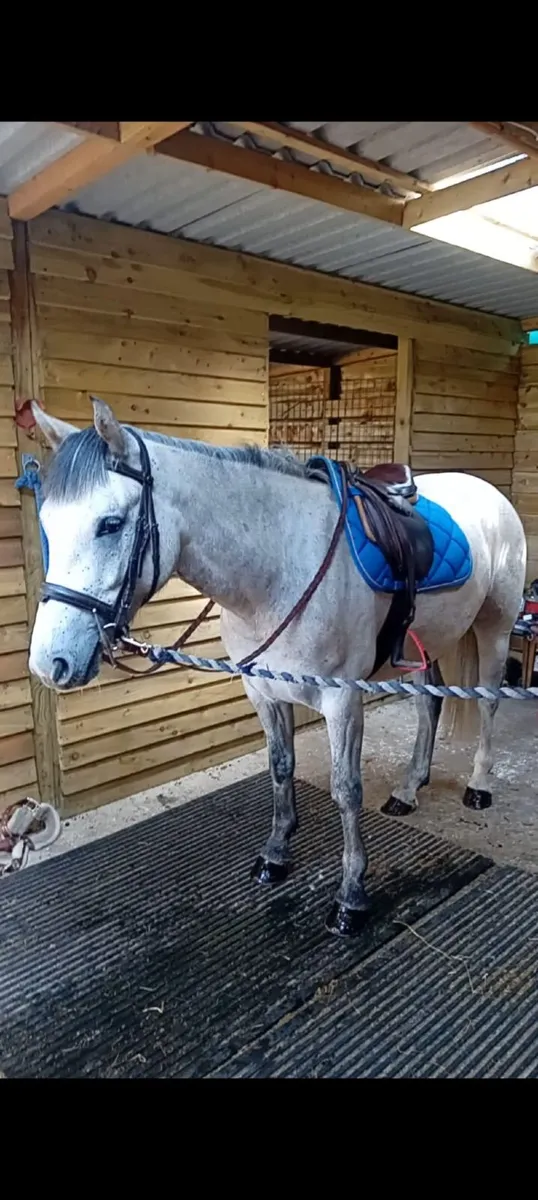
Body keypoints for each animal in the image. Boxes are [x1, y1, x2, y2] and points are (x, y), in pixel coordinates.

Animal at [28, 398, 526, 938]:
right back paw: (409, 788)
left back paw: (479, 786)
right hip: (423, 645)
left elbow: (346, 789)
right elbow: (280, 767)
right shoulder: (263, 690)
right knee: (428, 708)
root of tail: (490, 494)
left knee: (490, 704)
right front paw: (276, 853)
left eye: (110, 524)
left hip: (495, 630)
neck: (278, 569)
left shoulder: (342, 700)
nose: (49, 662)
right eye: (47, 524)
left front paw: (351, 896)